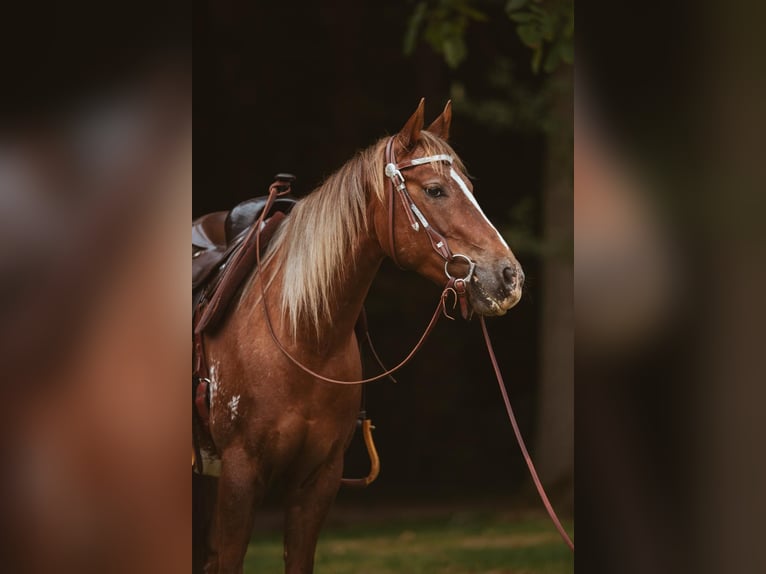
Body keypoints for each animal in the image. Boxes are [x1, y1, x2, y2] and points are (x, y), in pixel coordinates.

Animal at [193, 99, 524, 574]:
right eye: (435, 190)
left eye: (470, 188)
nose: (509, 276)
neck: (303, 339)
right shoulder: (240, 476)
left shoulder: (318, 481)